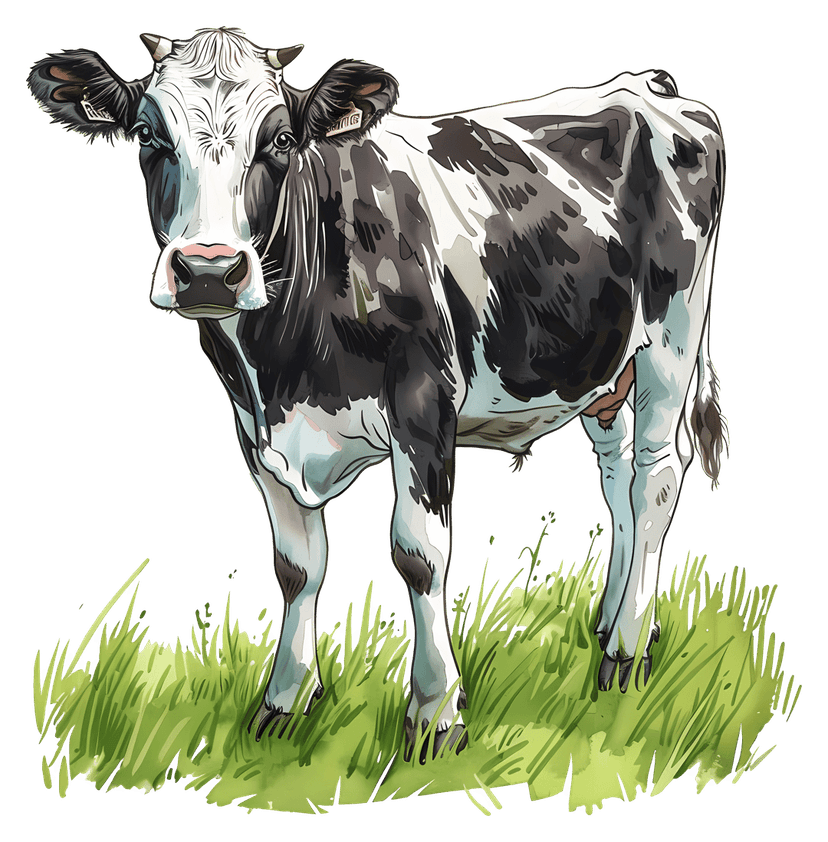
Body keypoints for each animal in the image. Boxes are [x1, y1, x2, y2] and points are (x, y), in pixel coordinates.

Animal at [27, 27, 728, 761]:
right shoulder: (253, 424)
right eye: (146, 134)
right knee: (617, 478)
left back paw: (626, 652)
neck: (285, 363)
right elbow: (297, 566)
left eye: (281, 139)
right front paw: (285, 702)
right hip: (601, 364)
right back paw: (615, 620)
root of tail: (646, 85)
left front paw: (436, 715)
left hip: (672, 335)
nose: (209, 271)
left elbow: (419, 554)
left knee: (656, 476)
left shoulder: (424, 398)